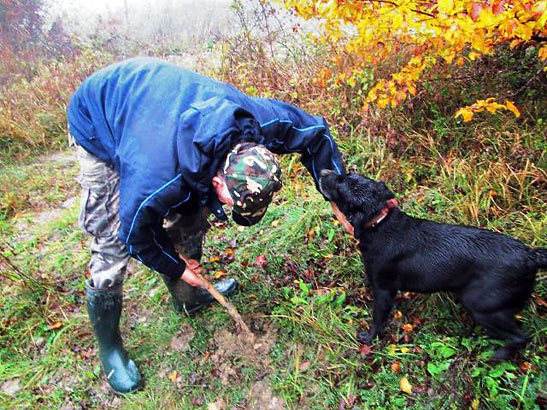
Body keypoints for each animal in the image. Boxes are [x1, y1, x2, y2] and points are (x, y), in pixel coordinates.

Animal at [322, 169, 547, 358]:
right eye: (347, 173)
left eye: (340, 185)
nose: (323, 172)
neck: (379, 223)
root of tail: (529, 256)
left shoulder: (383, 290)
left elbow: (378, 319)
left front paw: (369, 338)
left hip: (481, 304)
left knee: (520, 337)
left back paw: (497, 356)